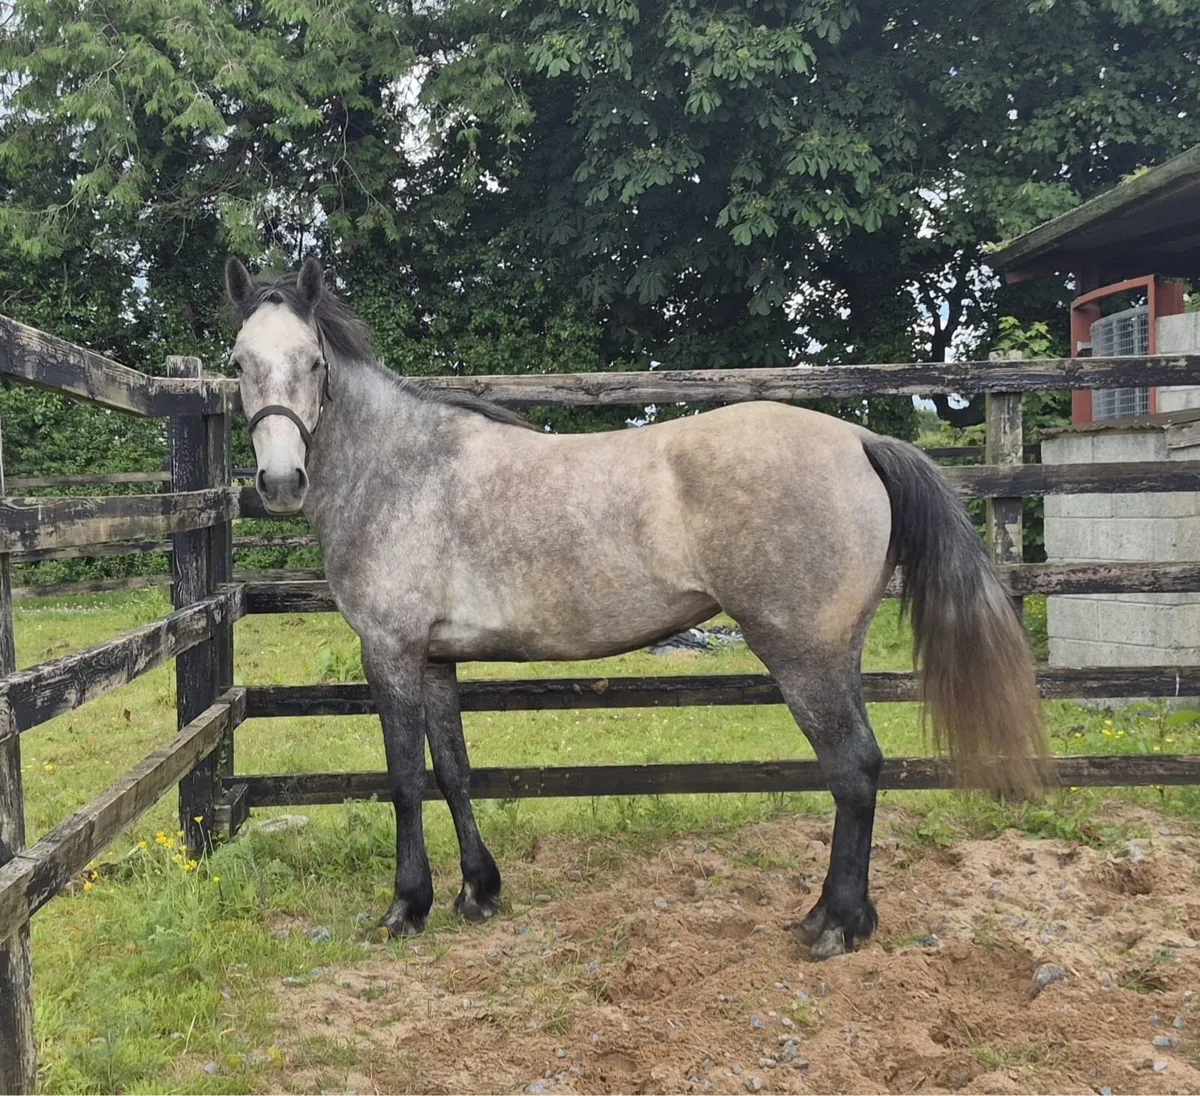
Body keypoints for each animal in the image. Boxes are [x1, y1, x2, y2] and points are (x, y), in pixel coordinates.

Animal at [224, 255, 1047, 961]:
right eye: (238, 361)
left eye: (314, 362)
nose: (281, 483)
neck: (404, 469)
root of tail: (858, 440)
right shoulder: (434, 659)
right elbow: (454, 770)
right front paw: (478, 893)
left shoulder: (389, 653)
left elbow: (404, 780)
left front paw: (407, 907)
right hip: (836, 652)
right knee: (861, 768)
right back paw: (842, 918)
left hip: (803, 656)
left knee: (853, 768)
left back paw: (834, 926)